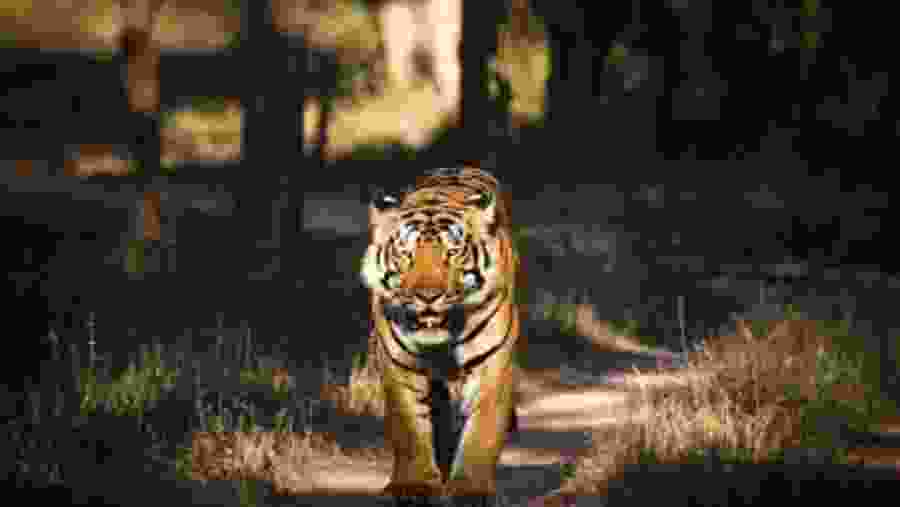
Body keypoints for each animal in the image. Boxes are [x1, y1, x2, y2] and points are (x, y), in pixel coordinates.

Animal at [359, 166, 523, 501]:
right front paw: (414, 485)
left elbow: (482, 431)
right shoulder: (399, 366)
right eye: (406, 253)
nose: (427, 296)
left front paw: (470, 489)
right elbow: (408, 428)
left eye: (452, 252)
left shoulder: (492, 366)